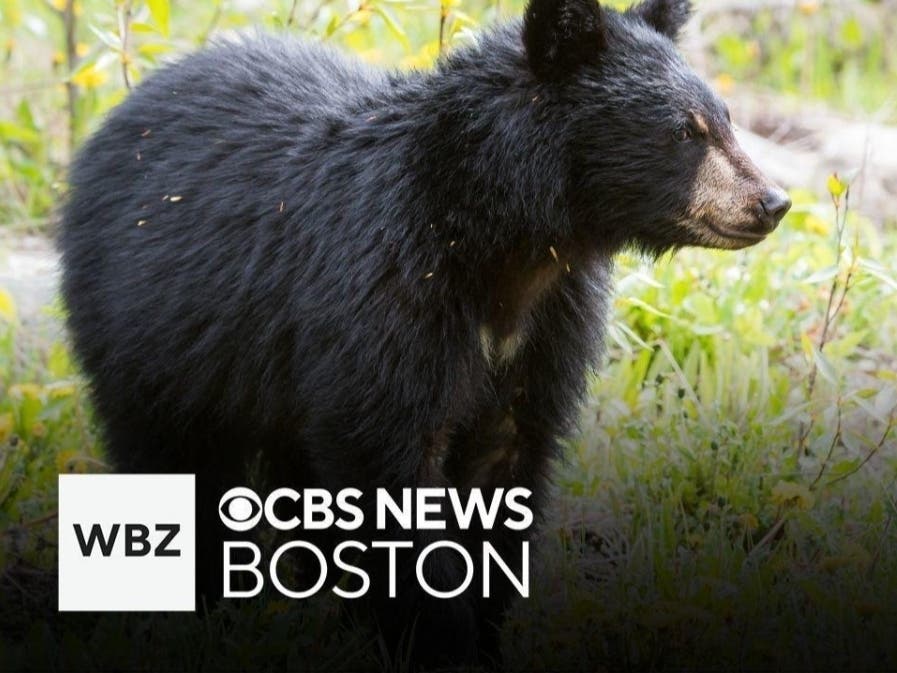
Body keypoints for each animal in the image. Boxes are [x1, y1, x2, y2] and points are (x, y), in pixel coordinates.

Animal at [57, 0, 784, 664]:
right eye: (683, 132)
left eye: (723, 118)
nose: (772, 202)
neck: (508, 242)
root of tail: (123, 111)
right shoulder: (385, 290)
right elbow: (389, 460)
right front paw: (441, 645)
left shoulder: (549, 325)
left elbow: (507, 462)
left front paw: (482, 637)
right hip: (148, 331)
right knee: (173, 459)